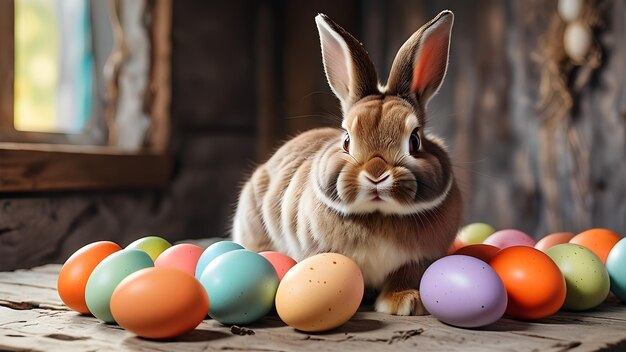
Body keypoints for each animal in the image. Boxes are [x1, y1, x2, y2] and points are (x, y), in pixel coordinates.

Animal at [232, 10, 460, 316]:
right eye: (347, 140)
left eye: (414, 141)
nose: (376, 174)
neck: (379, 215)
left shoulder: (416, 261)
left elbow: (404, 277)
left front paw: (405, 302)